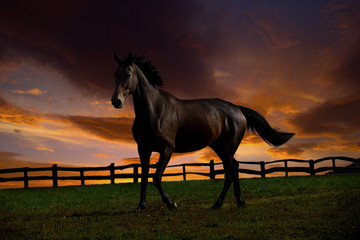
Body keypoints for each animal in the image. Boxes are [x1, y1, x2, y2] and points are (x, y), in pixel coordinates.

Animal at [111, 51, 294, 211]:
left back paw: (221, 204)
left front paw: (172, 204)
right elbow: (143, 177)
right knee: (233, 169)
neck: (153, 111)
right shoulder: (143, 149)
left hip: (227, 148)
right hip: (220, 148)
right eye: (115, 75)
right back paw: (233, 202)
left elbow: (156, 178)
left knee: (230, 172)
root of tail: (238, 109)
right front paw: (140, 206)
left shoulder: (167, 149)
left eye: (128, 74)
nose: (116, 101)